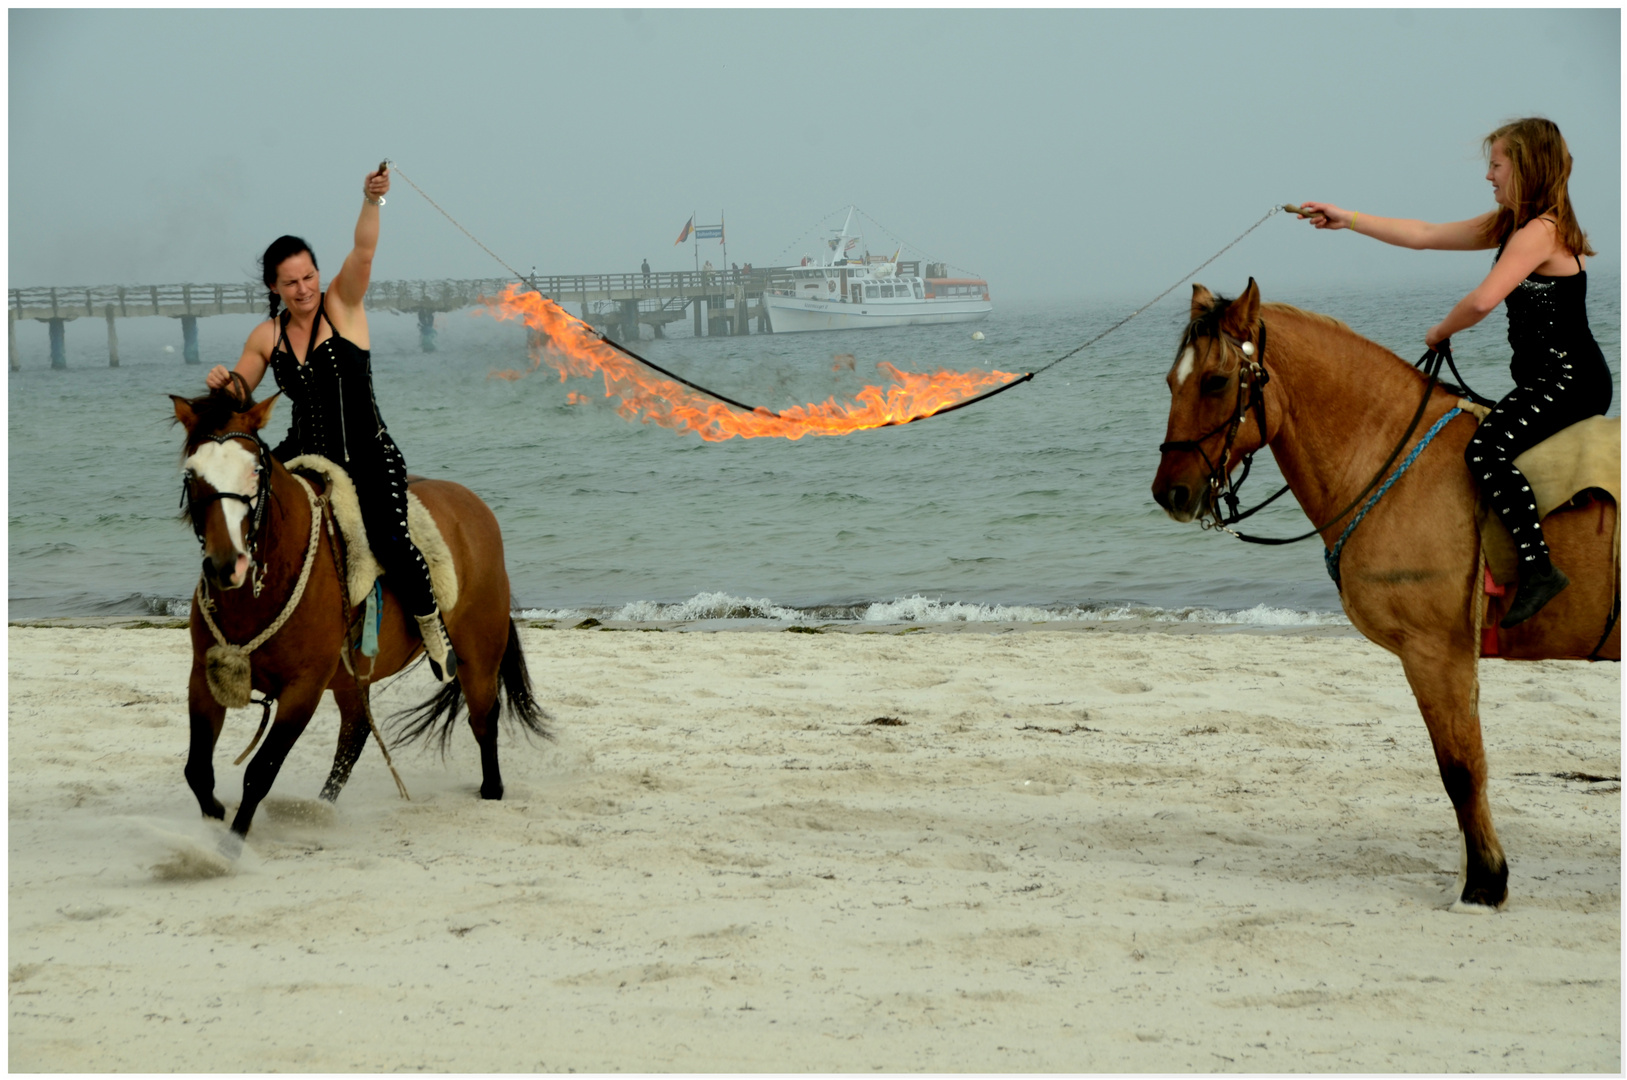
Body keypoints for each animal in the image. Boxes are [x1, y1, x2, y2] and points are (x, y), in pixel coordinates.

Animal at [171, 388, 549, 852]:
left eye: (255, 471)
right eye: (192, 475)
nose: (227, 565)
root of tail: (474, 507)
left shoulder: (303, 689)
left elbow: (260, 772)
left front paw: (231, 847)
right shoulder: (203, 676)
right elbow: (197, 770)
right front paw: (215, 817)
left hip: (479, 655)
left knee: (483, 721)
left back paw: (491, 790)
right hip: (353, 678)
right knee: (354, 735)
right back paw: (319, 810)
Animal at [1151, 278, 1620, 910]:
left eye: (1216, 381)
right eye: (1171, 381)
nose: (1169, 492)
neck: (1394, 462)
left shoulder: (1435, 653)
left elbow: (1461, 768)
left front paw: (1483, 883)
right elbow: (1468, 763)